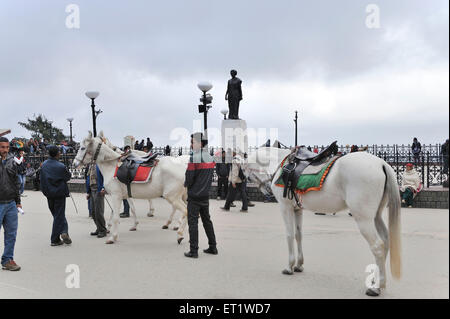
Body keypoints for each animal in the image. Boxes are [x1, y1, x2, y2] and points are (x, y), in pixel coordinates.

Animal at [248, 148, 402, 298]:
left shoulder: (285, 207)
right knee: (385, 241)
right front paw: (298, 265)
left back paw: (376, 287)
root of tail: (382, 163)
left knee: (377, 246)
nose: (267, 191)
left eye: (248, 175)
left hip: (364, 219)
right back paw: (377, 281)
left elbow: (289, 235)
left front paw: (289, 266)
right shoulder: (297, 209)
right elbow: (298, 235)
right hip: (376, 217)